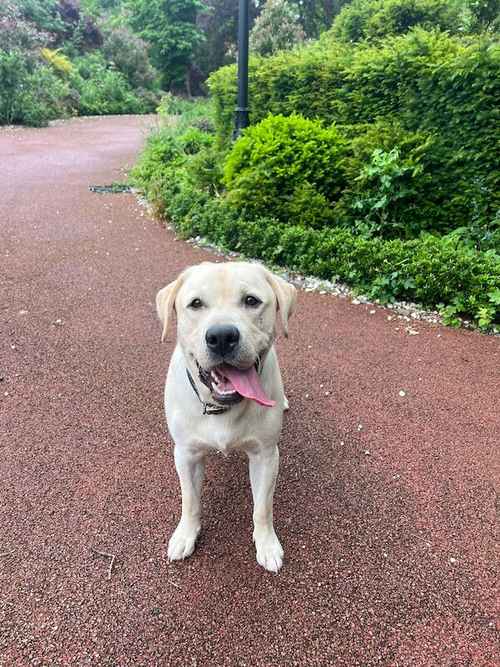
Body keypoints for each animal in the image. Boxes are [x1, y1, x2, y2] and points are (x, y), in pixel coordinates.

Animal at [158, 262, 294, 576]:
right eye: (196, 304)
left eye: (251, 300)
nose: (221, 336)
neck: (223, 407)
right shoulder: (186, 454)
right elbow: (190, 500)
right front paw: (186, 534)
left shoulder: (266, 455)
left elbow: (263, 508)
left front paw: (266, 544)